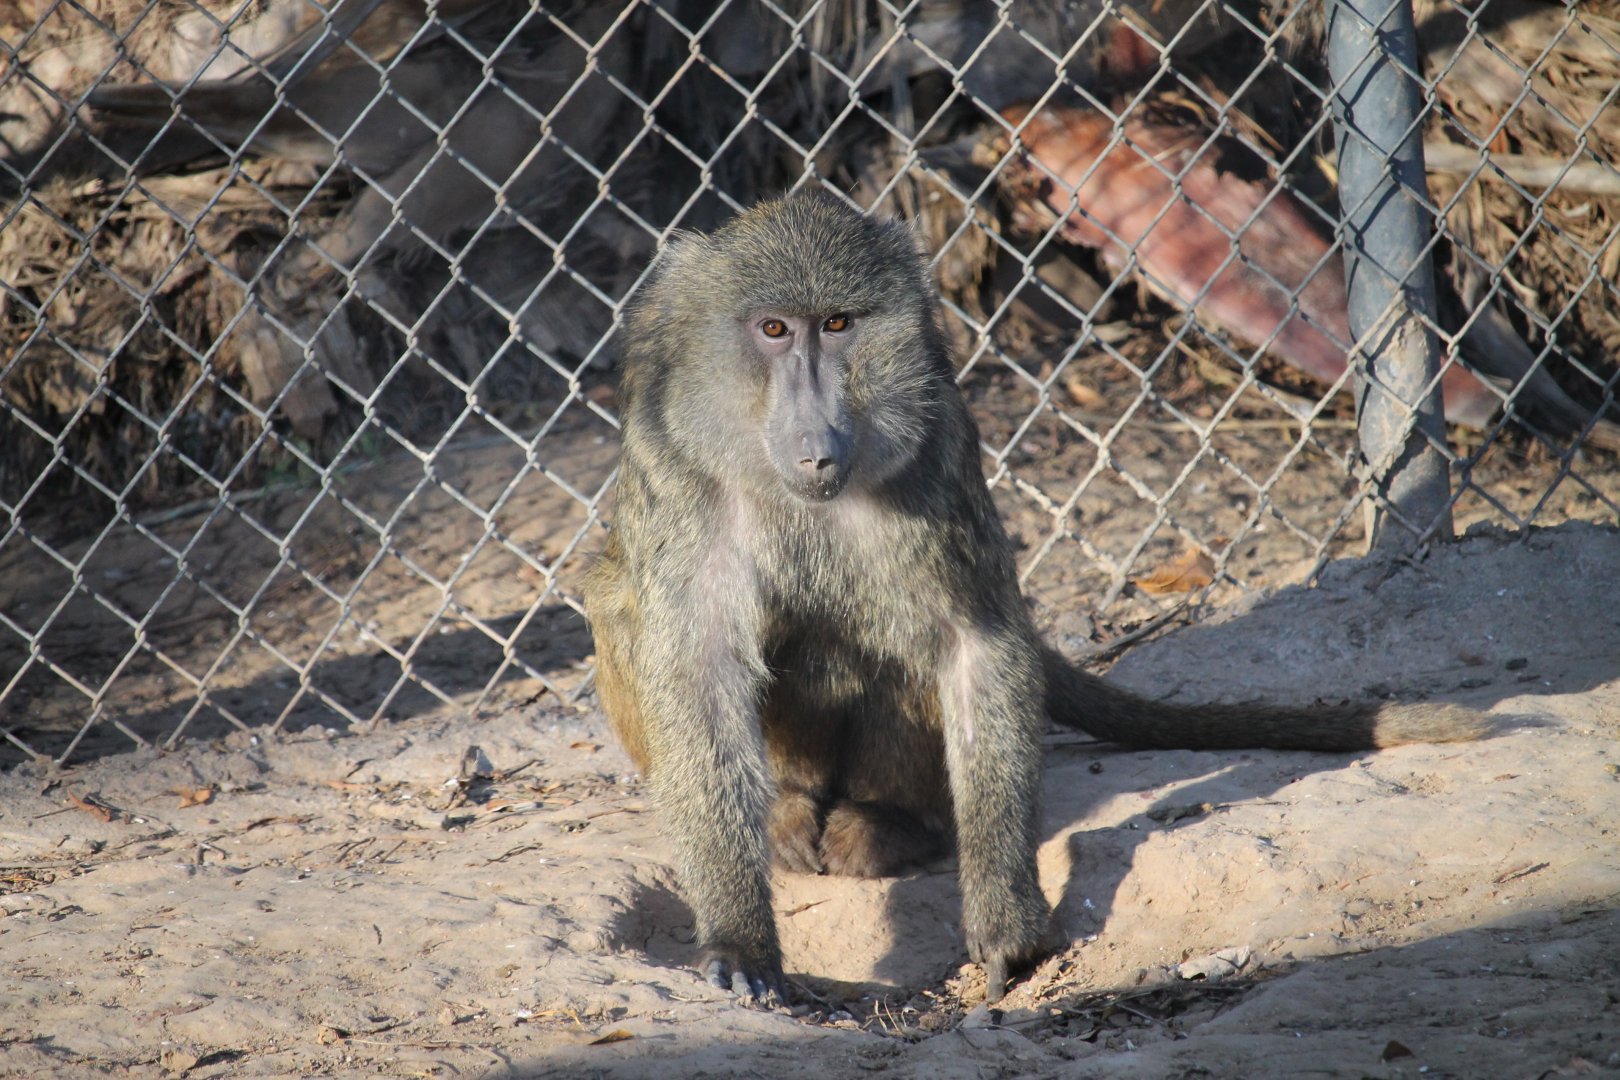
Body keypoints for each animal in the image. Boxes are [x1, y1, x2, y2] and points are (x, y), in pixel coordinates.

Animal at [582, 190, 1487, 1006]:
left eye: (838, 325)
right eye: (773, 330)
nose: (817, 444)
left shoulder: (937, 449)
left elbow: (973, 643)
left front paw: (1003, 915)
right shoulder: (675, 465)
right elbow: (696, 669)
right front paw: (740, 937)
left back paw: (890, 822)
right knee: (623, 604)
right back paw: (785, 815)